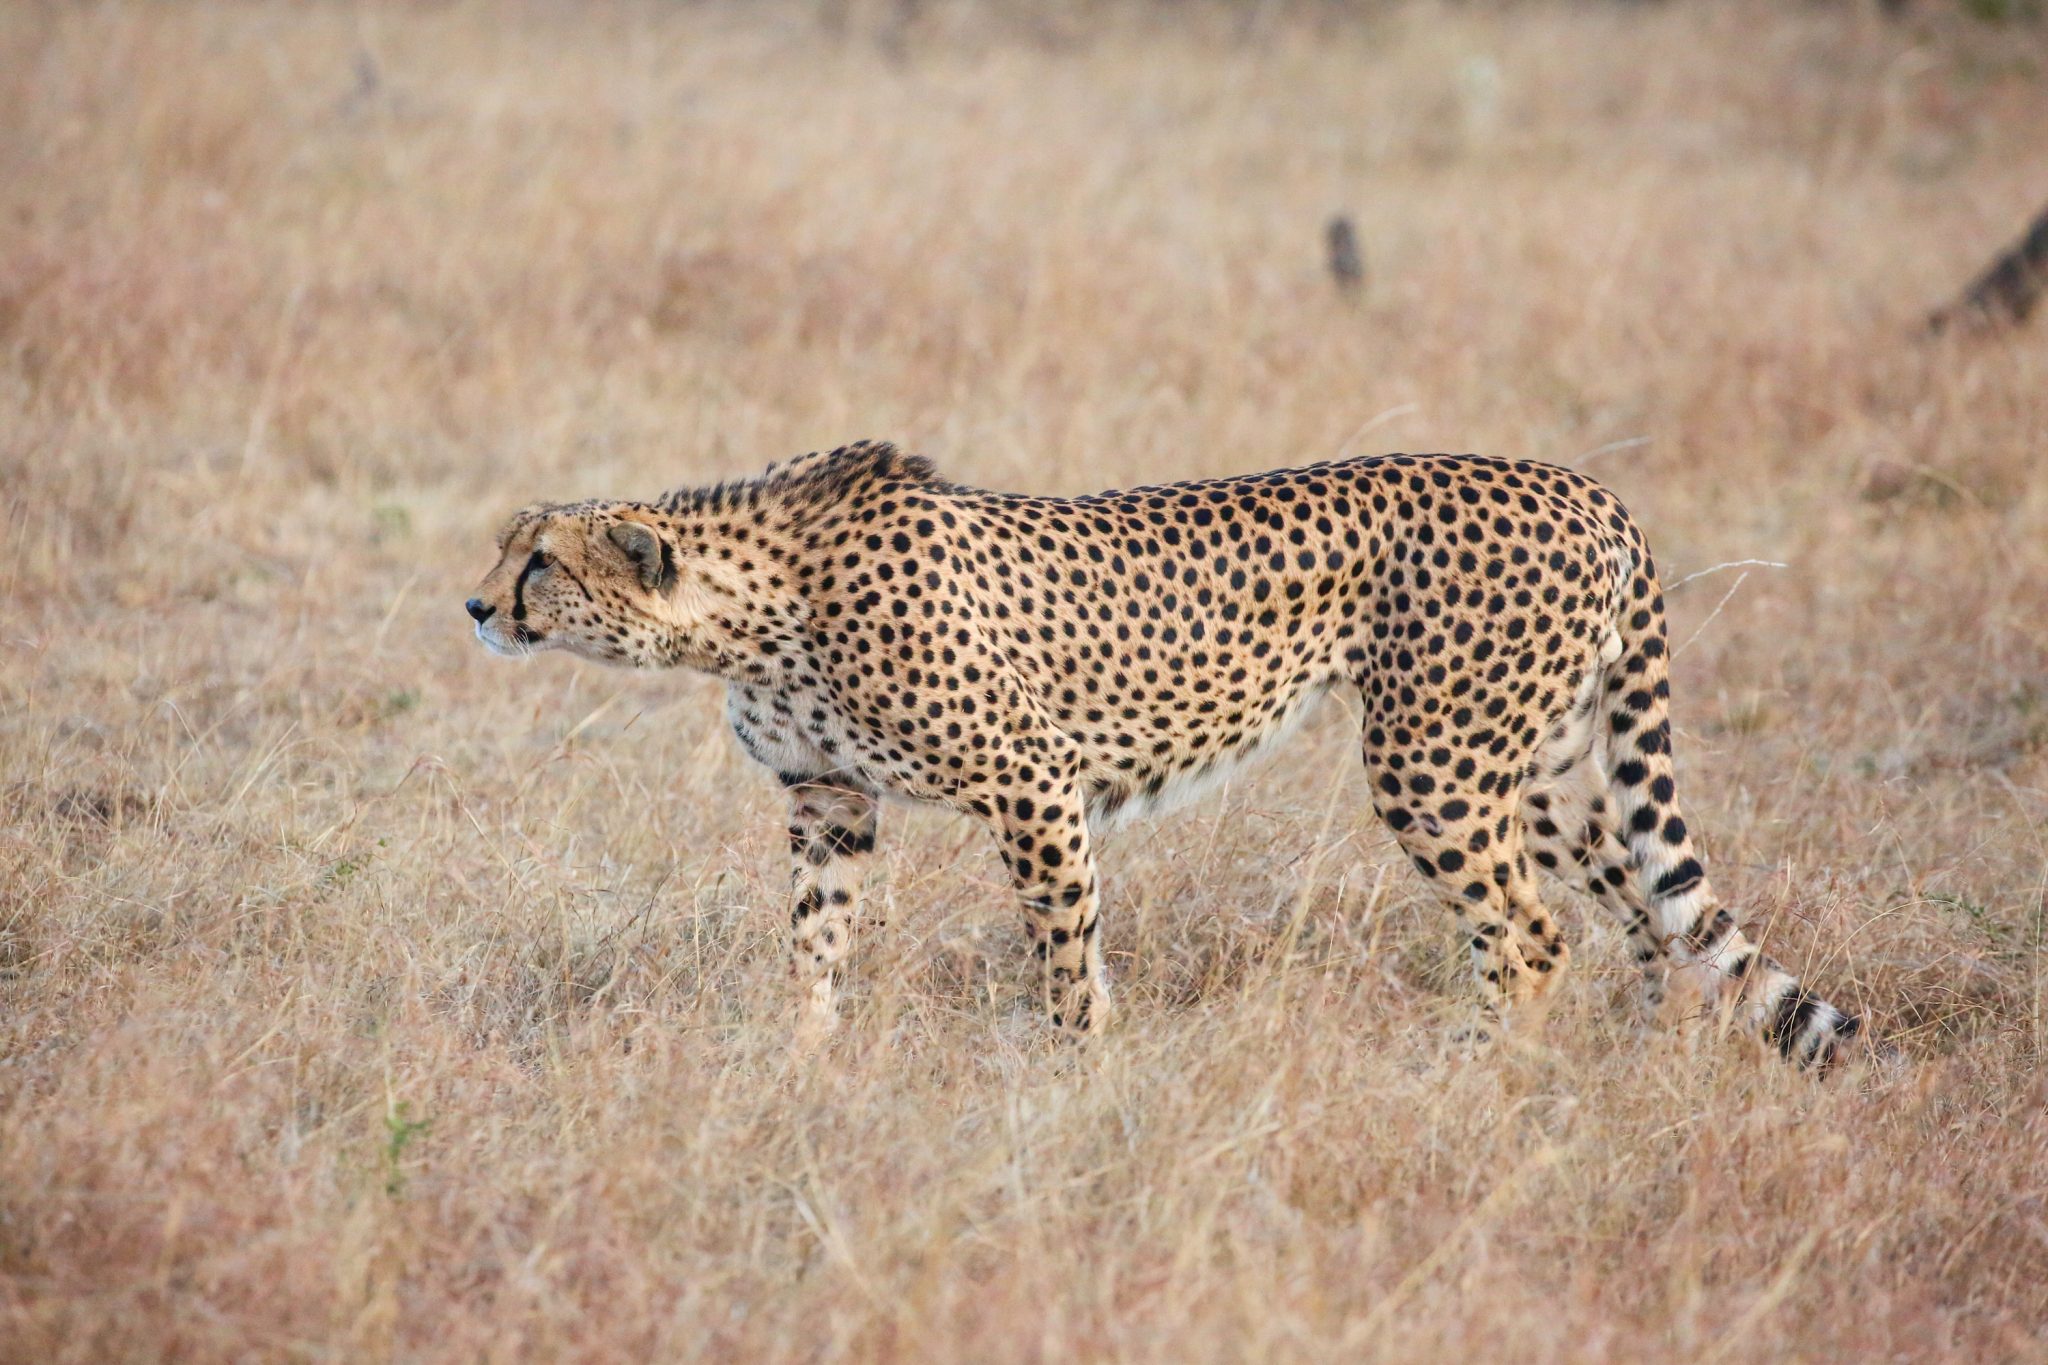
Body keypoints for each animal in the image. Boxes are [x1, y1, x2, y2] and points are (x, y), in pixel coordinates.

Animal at [466, 440, 1862, 1067]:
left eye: (538, 563)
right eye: (503, 548)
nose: (475, 608)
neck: (756, 607)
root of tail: (1581, 486)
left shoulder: (1031, 785)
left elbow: (1063, 946)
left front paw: (1074, 1074)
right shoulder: (828, 799)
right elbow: (811, 939)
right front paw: (803, 1062)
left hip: (1431, 763)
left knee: (1526, 929)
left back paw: (1474, 1076)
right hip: (1532, 767)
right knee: (1641, 906)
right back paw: (1636, 1055)